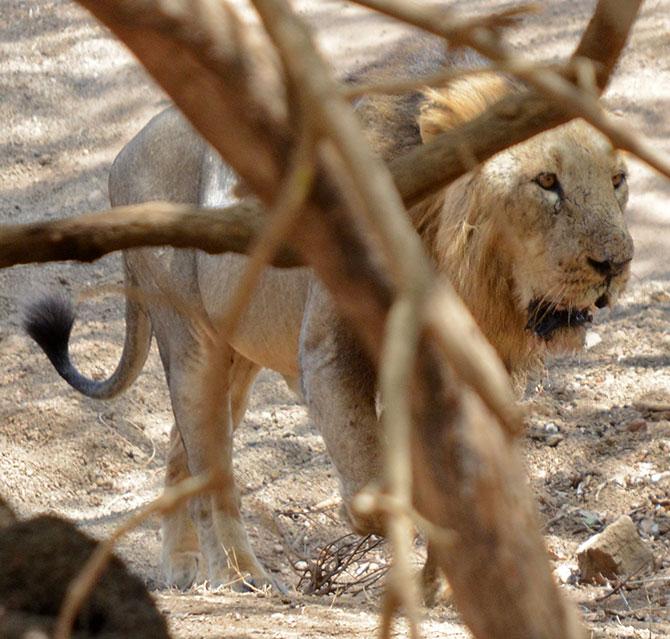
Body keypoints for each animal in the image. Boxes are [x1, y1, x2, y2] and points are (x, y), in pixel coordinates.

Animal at [26, 38, 636, 592]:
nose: (617, 263)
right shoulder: (330, 348)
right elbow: (368, 461)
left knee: (184, 457)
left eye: (617, 180)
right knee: (212, 477)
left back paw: (182, 568)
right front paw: (376, 521)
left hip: (236, 359)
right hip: (192, 339)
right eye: (546, 182)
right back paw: (239, 578)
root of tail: (126, 149)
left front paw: (447, 586)